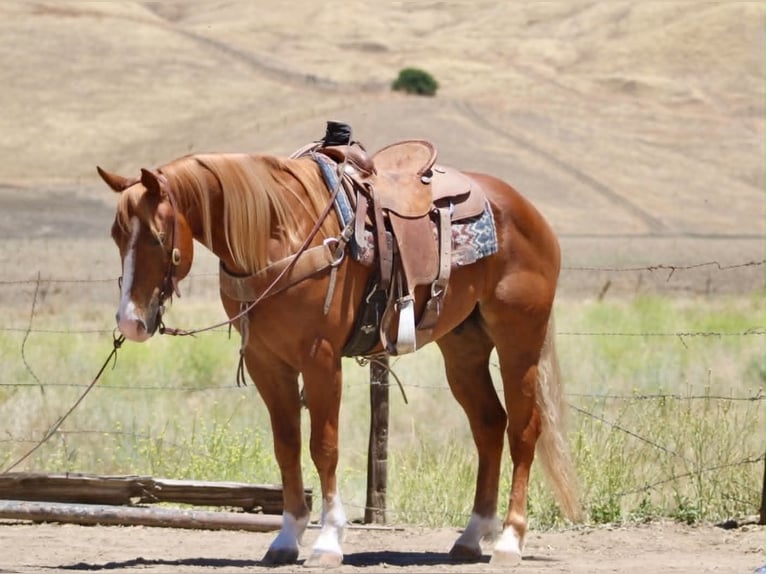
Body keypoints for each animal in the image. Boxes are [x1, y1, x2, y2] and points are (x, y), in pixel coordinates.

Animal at [98, 132, 581, 567]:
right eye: (116, 236)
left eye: (157, 237)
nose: (130, 322)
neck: (278, 234)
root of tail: (528, 211)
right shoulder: (266, 363)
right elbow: (287, 446)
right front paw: (286, 539)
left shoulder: (320, 358)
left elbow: (323, 446)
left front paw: (328, 541)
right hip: (463, 348)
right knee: (488, 425)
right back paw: (470, 536)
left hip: (519, 341)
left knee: (523, 430)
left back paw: (509, 541)